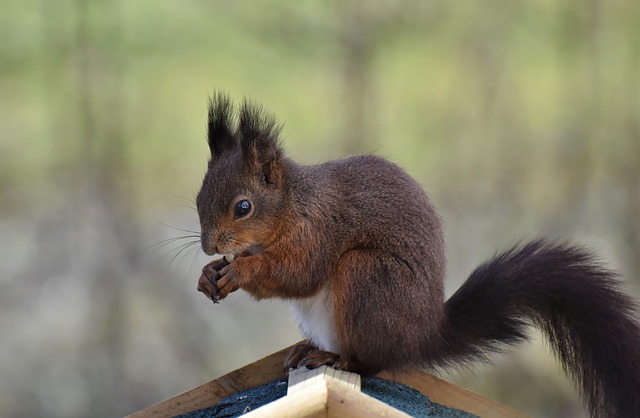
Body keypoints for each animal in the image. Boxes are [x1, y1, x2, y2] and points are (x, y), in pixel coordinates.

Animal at [195, 92, 640, 418]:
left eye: (243, 207)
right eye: (199, 198)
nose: (209, 245)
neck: (292, 203)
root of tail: (424, 335)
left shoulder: (318, 229)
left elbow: (298, 273)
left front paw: (240, 272)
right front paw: (208, 274)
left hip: (367, 278)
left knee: (370, 361)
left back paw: (335, 356)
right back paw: (308, 349)